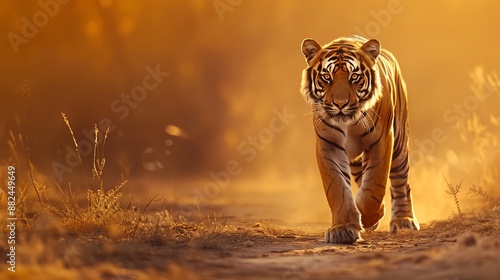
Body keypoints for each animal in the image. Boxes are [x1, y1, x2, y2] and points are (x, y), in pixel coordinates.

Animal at [298, 36, 420, 243]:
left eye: (354, 77)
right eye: (327, 77)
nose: (340, 104)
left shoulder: (381, 140)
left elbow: (374, 186)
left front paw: (370, 215)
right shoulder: (328, 145)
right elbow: (337, 188)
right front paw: (342, 228)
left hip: (400, 145)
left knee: (400, 182)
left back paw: (403, 220)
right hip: (355, 159)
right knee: (362, 177)